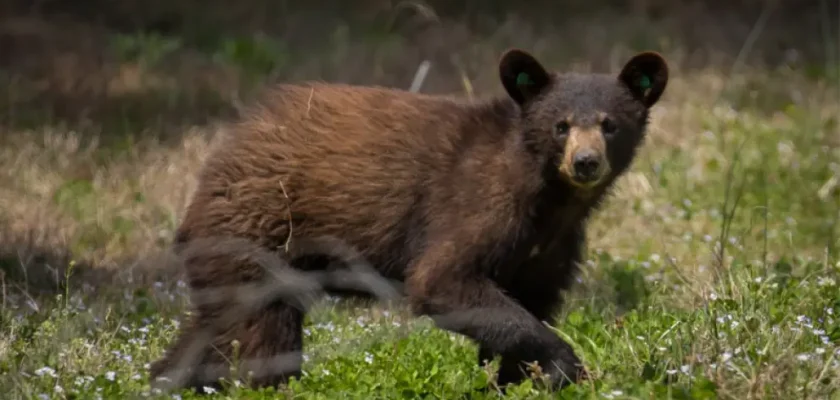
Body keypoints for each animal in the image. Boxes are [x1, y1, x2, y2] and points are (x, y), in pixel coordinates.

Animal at [149, 47, 668, 394]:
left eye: (609, 124)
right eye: (561, 125)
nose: (585, 163)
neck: (549, 197)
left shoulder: (551, 246)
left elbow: (533, 301)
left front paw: (516, 380)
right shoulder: (478, 205)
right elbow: (444, 281)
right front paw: (566, 365)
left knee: (209, 335)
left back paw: (165, 379)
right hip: (256, 237)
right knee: (262, 338)